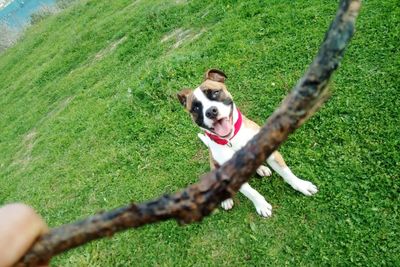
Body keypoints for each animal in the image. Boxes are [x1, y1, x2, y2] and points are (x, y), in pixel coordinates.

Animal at [177, 68, 318, 218]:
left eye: (215, 92)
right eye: (196, 108)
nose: (211, 112)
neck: (232, 139)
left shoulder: (270, 151)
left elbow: (287, 173)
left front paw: (301, 185)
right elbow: (252, 193)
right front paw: (261, 205)